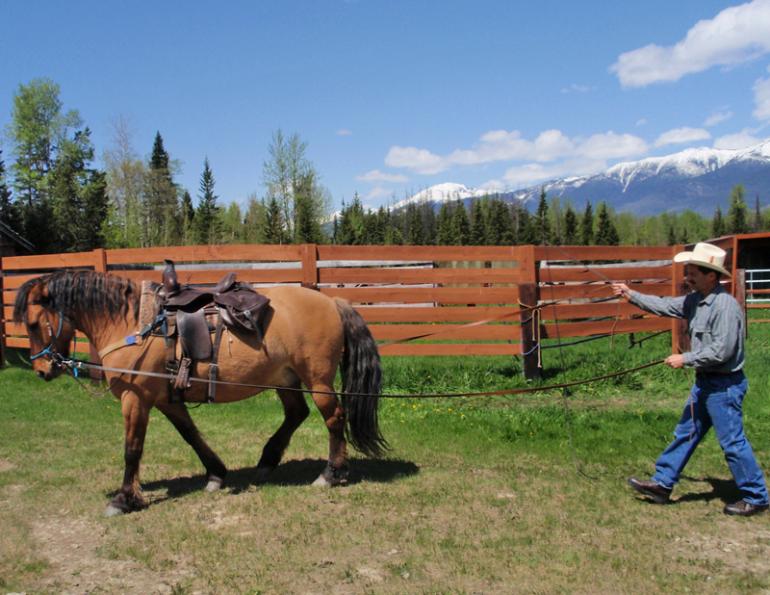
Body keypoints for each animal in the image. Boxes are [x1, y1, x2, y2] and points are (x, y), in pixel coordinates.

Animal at [13, 269, 386, 516]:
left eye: (32, 323)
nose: (42, 369)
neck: (133, 325)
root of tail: (332, 301)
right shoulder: (166, 400)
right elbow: (192, 436)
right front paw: (216, 474)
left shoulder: (137, 400)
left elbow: (132, 449)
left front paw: (123, 499)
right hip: (285, 378)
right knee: (297, 413)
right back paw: (267, 462)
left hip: (317, 380)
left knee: (333, 418)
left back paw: (331, 473)